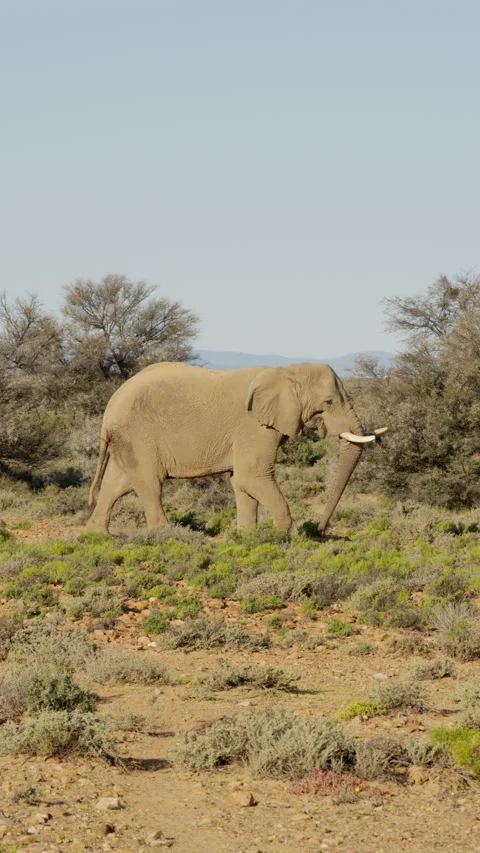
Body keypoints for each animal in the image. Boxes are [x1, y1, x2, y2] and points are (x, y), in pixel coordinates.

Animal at [86, 361, 386, 534]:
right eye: (328, 403)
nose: (317, 529)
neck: (286, 371)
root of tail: (110, 407)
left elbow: (241, 483)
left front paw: (246, 537)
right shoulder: (254, 427)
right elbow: (252, 477)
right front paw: (281, 537)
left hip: (127, 439)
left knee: (116, 484)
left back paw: (96, 536)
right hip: (140, 436)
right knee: (149, 485)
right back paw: (166, 537)